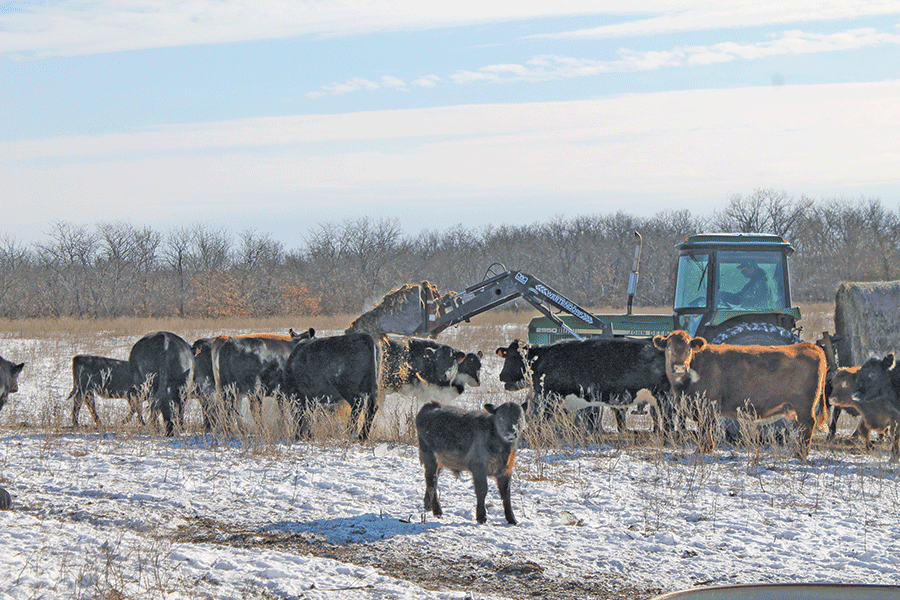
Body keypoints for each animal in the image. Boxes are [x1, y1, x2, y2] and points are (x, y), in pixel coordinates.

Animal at [495, 338, 671, 435]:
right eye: (506, 354)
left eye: (514, 357)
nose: (501, 376)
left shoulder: (551, 399)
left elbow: (544, 422)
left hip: (665, 399)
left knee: (669, 422)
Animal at [652, 331, 828, 458]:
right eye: (668, 348)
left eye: (689, 349)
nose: (679, 367)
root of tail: (808, 346)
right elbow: (706, 428)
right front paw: (707, 448)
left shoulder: (705, 405)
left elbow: (704, 428)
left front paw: (703, 449)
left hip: (804, 406)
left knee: (807, 425)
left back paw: (800, 454)